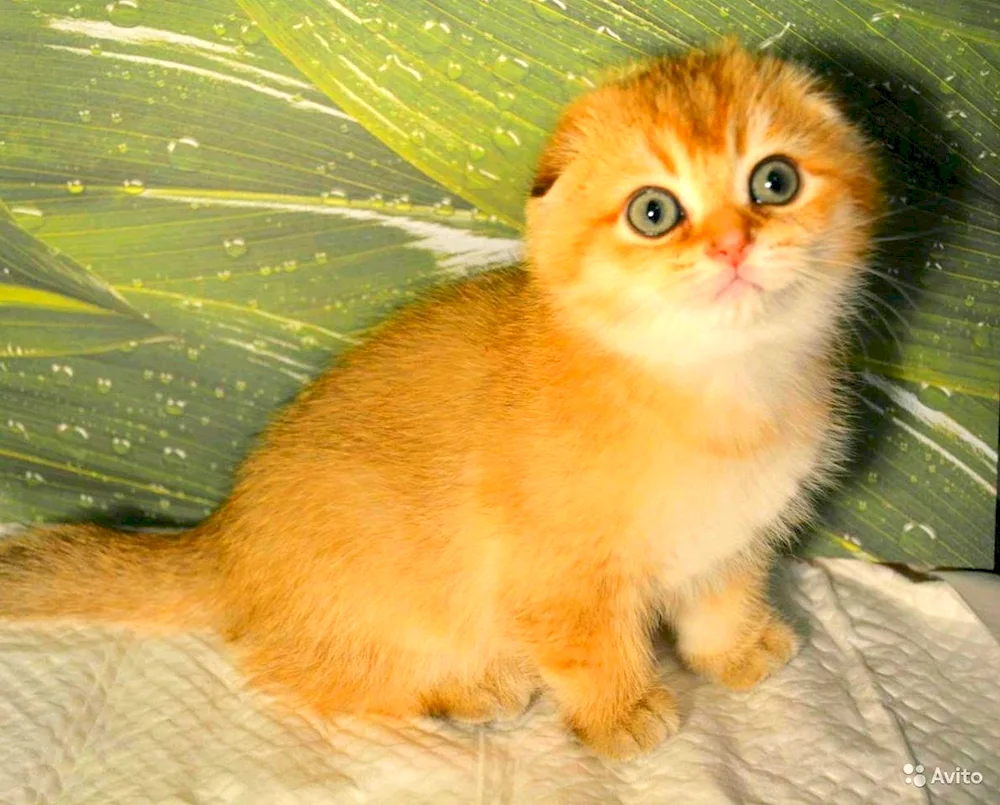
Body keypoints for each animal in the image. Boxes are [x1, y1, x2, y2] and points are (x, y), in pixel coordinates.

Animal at [0, 44, 880, 760]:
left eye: (774, 179)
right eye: (654, 211)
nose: (732, 244)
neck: (714, 387)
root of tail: (222, 540)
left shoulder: (732, 536)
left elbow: (720, 600)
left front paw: (735, 651)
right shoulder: (555, 576)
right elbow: (589, 646)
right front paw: (620, 714)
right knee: (312, 674)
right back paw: (469, 687)